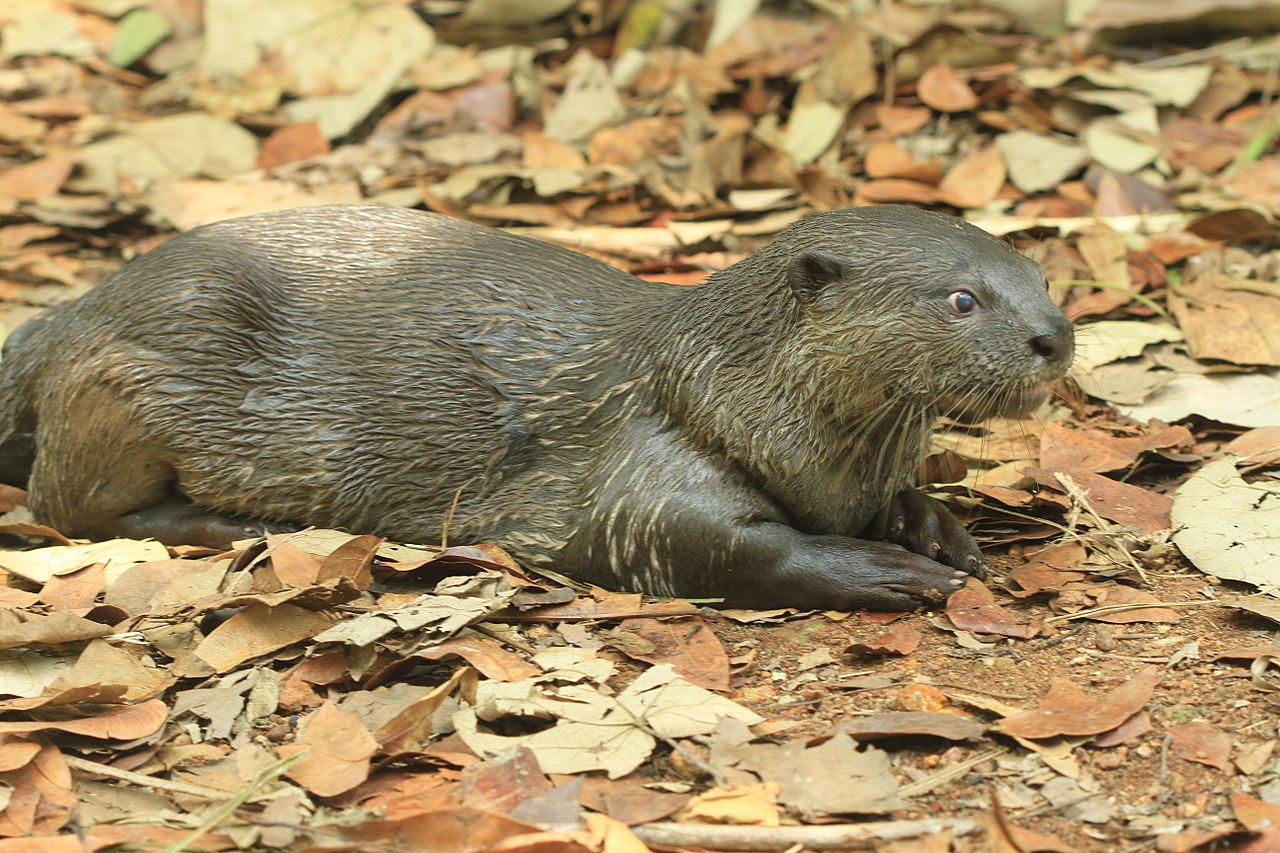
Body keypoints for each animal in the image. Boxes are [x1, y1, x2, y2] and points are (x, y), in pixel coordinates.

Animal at [0, 204, 1072, 610]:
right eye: (962, 300)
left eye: (1040, 279)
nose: (1054, 335)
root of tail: (74, 311)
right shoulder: (646, 455)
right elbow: (701, 542)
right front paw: (882, 568)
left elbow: (899, 499)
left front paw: (936, 530)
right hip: (139, 374)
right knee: (69, 503)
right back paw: (236, 525)